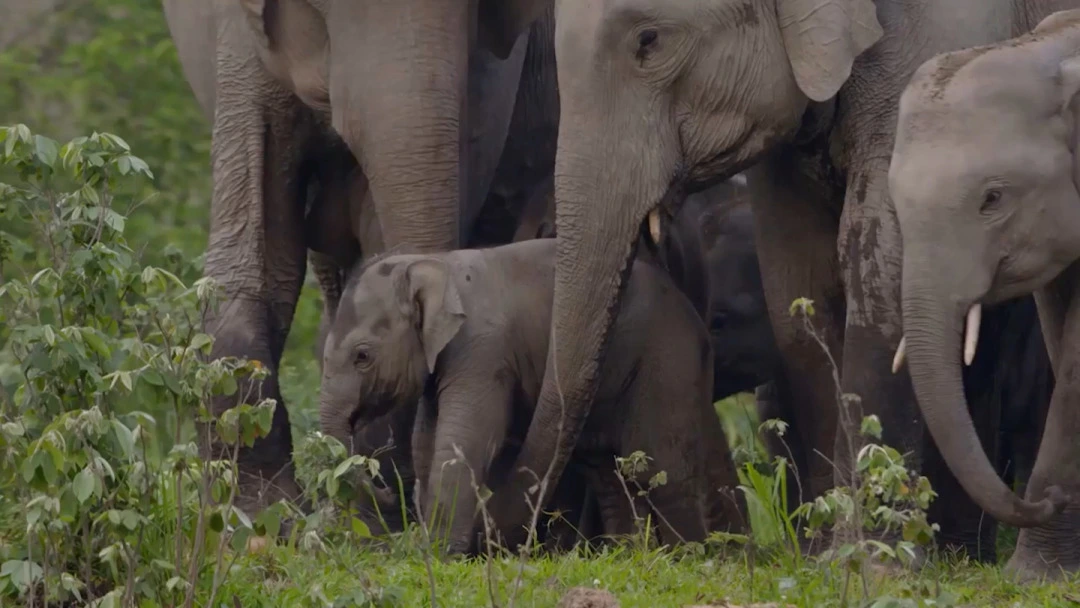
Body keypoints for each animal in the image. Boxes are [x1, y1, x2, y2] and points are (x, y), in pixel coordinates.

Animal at [318, 238, 744, 554]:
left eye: (362, 356)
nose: (386, 489)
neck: (435, 263)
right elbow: (427, 438)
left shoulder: (482, 350)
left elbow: (466, 440)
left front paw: (439, 555)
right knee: (609, 474)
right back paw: (628, 556)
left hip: (668, 360)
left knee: (662, 470)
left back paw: (687, 559)